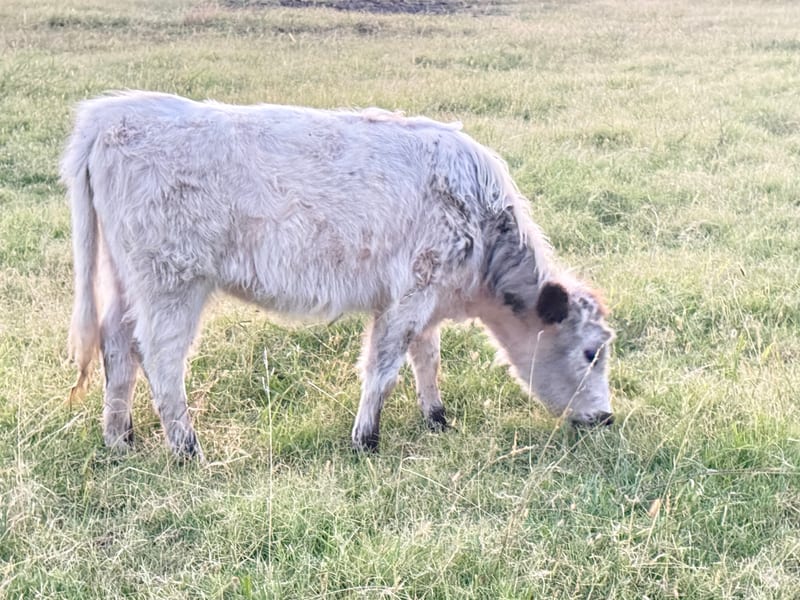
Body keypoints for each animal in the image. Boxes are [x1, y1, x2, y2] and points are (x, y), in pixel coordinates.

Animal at [61, 90, 615, 458]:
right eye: (591, 351)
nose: (606, 417)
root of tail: (111, 113)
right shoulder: (409, 293)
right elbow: (384, 366)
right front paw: (366, 438)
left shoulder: (425, 296)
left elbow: (427, 358)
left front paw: (437, 418)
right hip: (171, 282)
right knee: (160, 357)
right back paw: (186, 447)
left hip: (126, 279)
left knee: (117, 345)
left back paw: (120, 438)